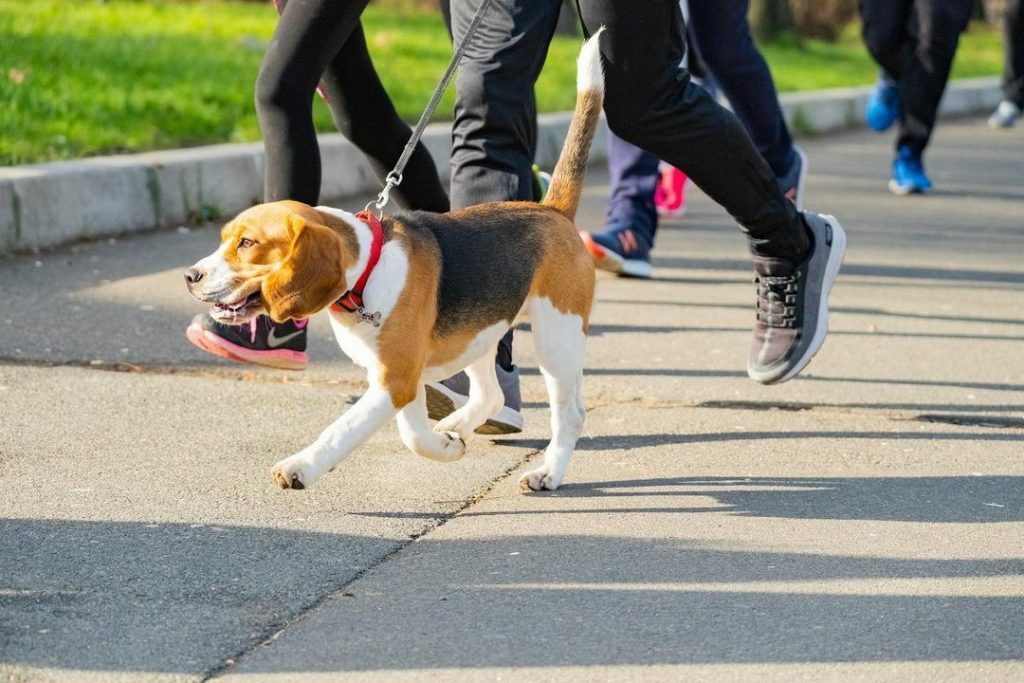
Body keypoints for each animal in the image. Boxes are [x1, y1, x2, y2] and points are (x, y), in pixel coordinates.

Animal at [186, 30, 598, 491]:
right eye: (225, 239)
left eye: (247, 243)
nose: (191, 276)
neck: (365, 273)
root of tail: (553, 210)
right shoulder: (401, 377)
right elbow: (411, 432)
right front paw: (445, 446)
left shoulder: (396, 380)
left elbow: (343, 429)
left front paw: (300, 466)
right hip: (479, 334)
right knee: (489, 394)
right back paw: (457, 426)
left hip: (557, 337)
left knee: (570, 414)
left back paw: (548, 472)